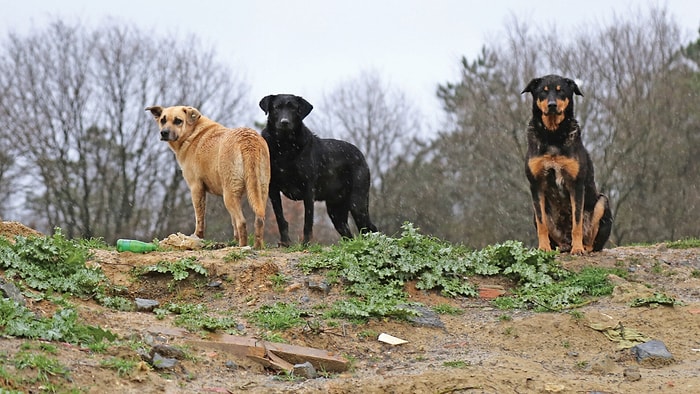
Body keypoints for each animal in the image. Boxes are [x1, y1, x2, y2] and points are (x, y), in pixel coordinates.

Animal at [146, 104, 270, 249]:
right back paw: (257, 247)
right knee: (258, 220)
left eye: (178, 121)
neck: (192, 133)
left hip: (230, 195)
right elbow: (233, 223)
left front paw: (197, 236)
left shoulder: (196, 188)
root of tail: (248, 140)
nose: (164, 133)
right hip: (260, 192)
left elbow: (199, 217)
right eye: (163, 120)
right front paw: (233, 240)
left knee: (242, 222)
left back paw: (242, 246)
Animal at [520, 75, 612, 254]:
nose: (552, 105)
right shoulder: (536, 185)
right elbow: (542, 224)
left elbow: (576, 222)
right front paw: (543, 247)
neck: (552, 133)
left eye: (560, 90)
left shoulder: (576, 184)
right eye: (543, 91)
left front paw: (577, 249)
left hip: (602, 202)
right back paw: (560, 246)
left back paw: (583, 246)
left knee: (593, 241)